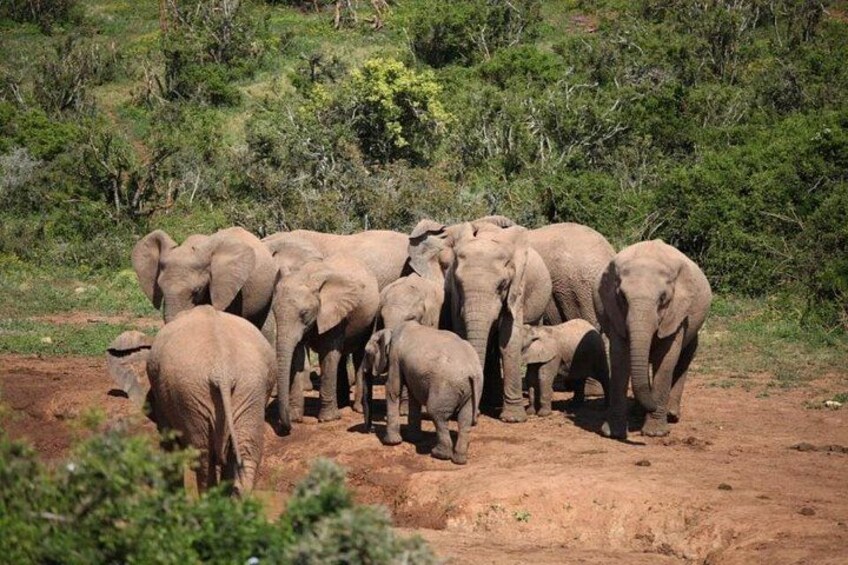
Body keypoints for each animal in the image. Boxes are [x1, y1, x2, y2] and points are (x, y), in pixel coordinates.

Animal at [106, 306, 275, 496]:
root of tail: (223, 371)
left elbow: (169, 440)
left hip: (192, 393)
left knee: (203, 456)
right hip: (248, 388)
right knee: (245, 452)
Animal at [273, 254, 379, 431]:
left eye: (304, 313)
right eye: (273, 311)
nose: (287, 427)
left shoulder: (335, 312)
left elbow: (329, 355)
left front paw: (328, 419)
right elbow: (297, 357)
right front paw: (296, 418)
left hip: (369, 318)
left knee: (359, 354)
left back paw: (356, 408)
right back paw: (342, 403)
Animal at [362, 322, 483, 465]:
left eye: (367, 353)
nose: (370, 430)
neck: (390, 331)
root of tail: (472, 371)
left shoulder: (394, 357)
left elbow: (393, 389)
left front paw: (391, 442)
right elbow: (413, 396)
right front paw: (413, 439)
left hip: (445, 387)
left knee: (437, 414)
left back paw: (438, 454)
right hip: (472, 389)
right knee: (465, 419)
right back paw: (459, 460)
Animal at [447, 225, 552, 423]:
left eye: (502, 285)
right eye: (458, 282)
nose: (475, 417)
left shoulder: (518, 286)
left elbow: (509, 340)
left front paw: (513, 419)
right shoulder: (455, 297)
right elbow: (462, 333)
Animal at [594, 239, 712, 439]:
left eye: (663, 298)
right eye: (622, 297)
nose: (653, 406)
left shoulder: (676, 312)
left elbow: (666, 361)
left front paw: (655, 433)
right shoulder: (615, 313)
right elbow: (620, 360)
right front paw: (614, 433)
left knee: (684, 359)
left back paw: (671, 415)